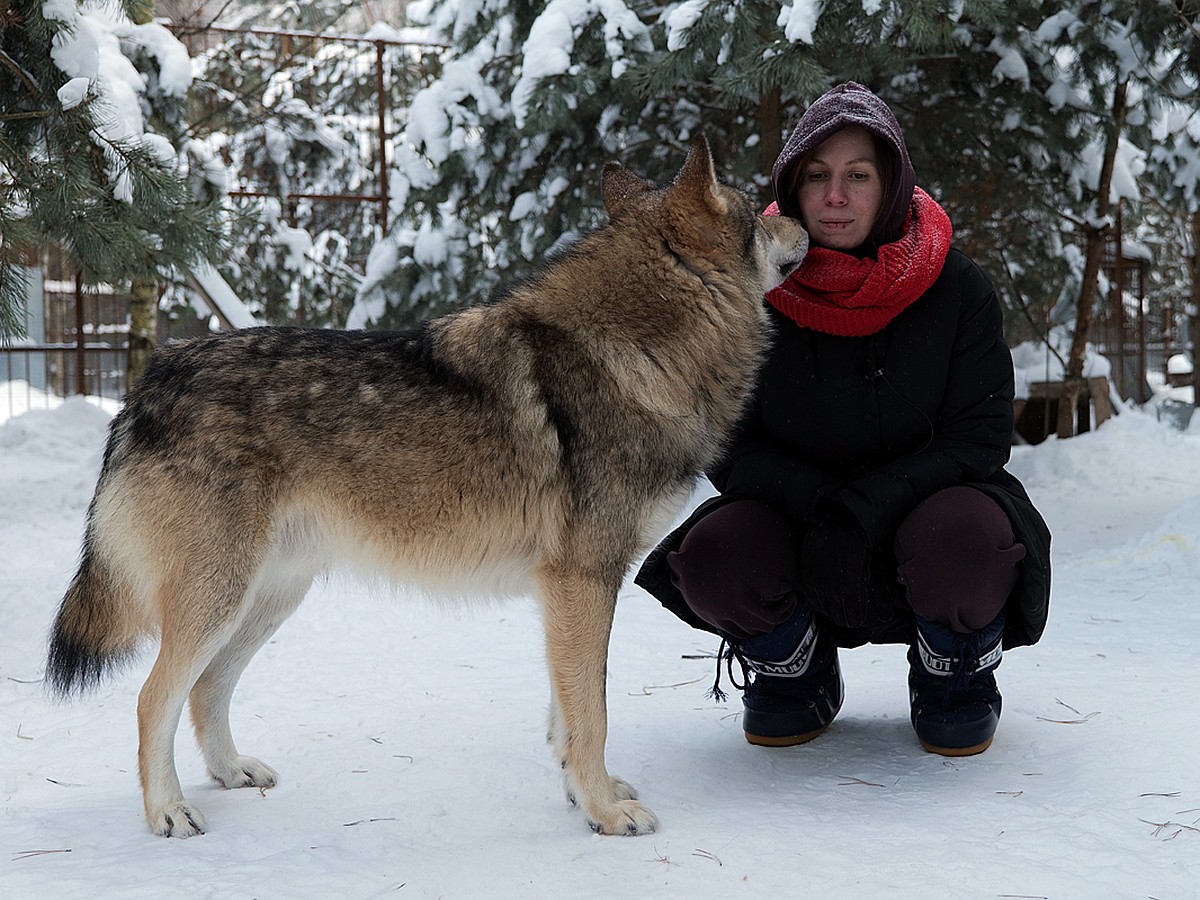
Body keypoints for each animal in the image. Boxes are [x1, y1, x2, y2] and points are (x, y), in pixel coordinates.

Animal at [51, 137, 811, 844]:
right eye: (757, 211)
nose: (802, 221)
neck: (638, 350)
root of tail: (149, 383)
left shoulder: (566, 594)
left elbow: (565, 719)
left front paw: (580, 794)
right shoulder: (583, 581)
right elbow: (591, 715)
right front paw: (606, 813)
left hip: (267, 599)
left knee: (207, 688)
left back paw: (232, 772)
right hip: (220, 599)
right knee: (153, 698)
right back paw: (169, 813)